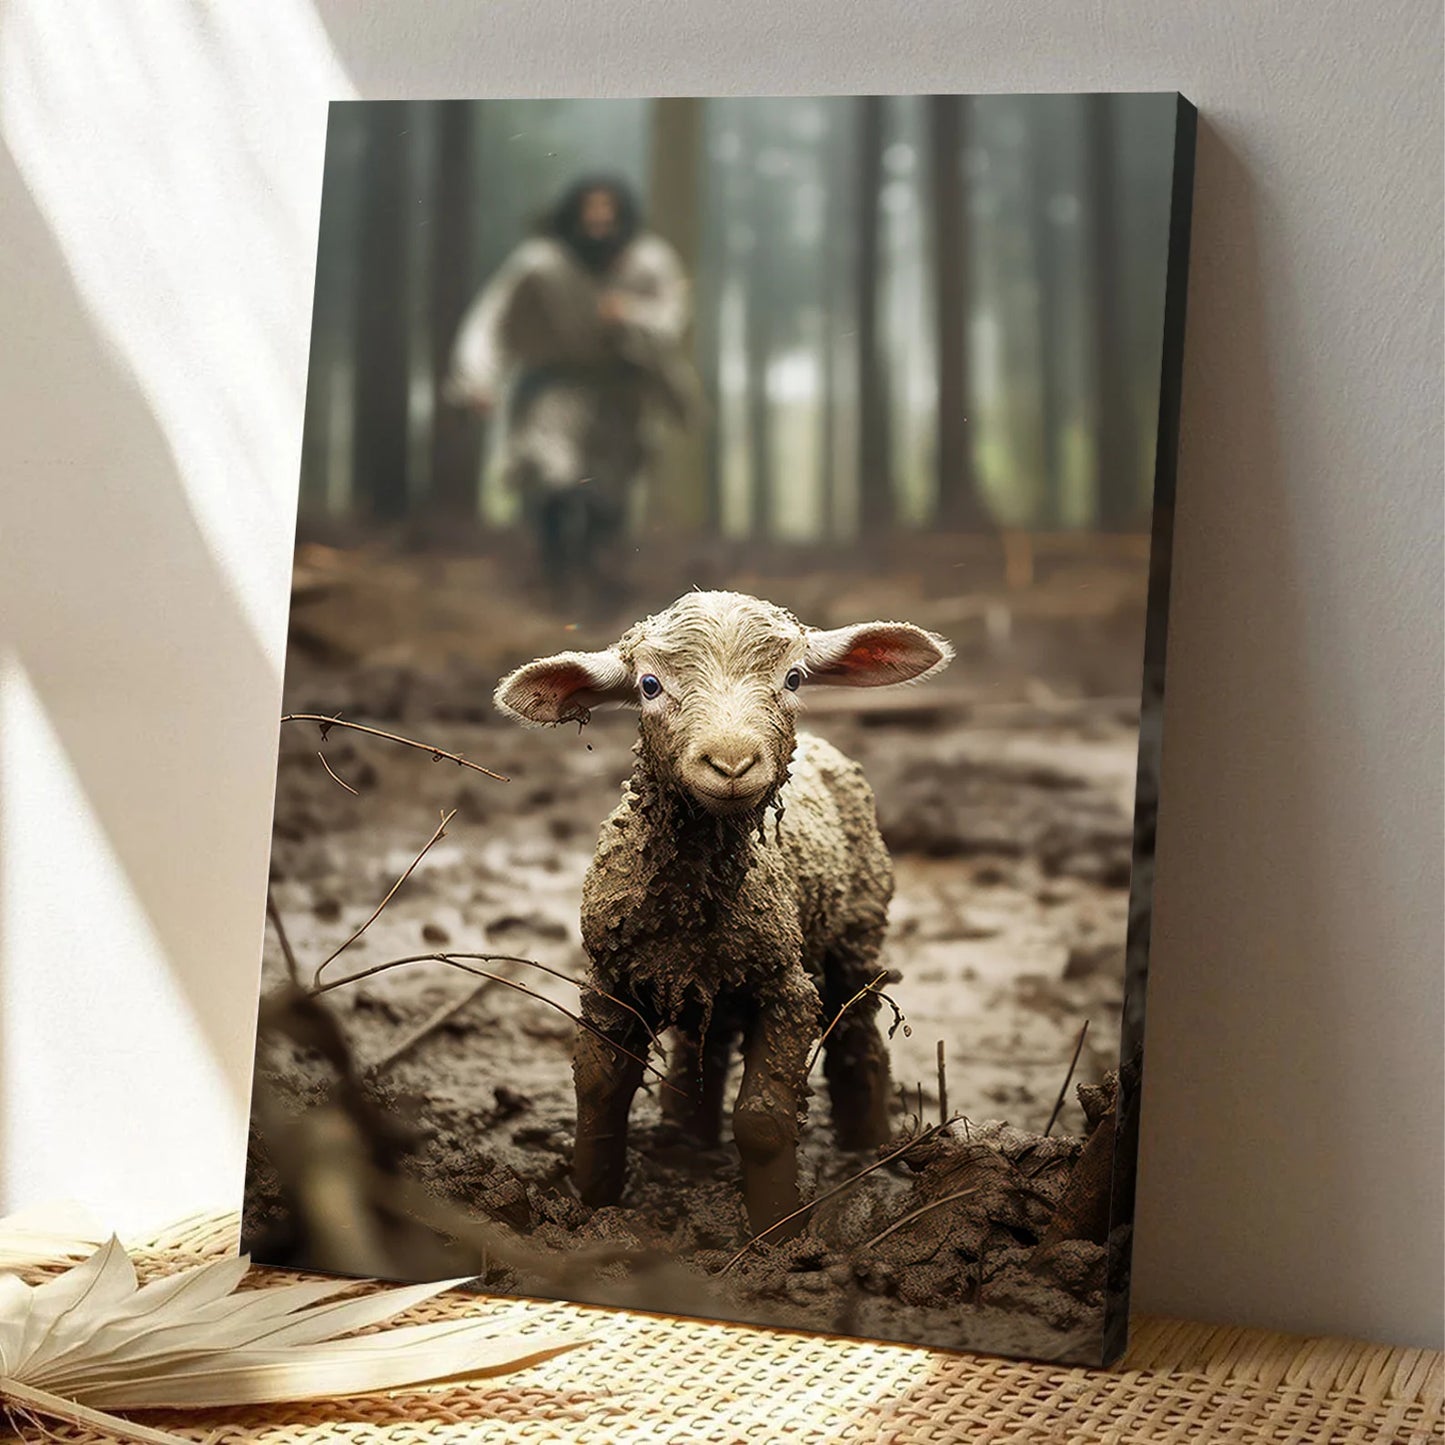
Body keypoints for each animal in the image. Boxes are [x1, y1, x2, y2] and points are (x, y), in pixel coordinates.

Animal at [494, 590, 952, 1234]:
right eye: (650, 685)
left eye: (793, 678)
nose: (732, 764)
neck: (693, 903)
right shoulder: (610, 977)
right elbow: (598, 1086)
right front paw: (590, 1200)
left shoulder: (786, 985)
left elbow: (762, 1119)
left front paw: (777, 1230)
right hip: (705, 981)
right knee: (700, 1048)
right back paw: (689, 1139)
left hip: (855, 932)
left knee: (858, 1037)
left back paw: (870, 1150)